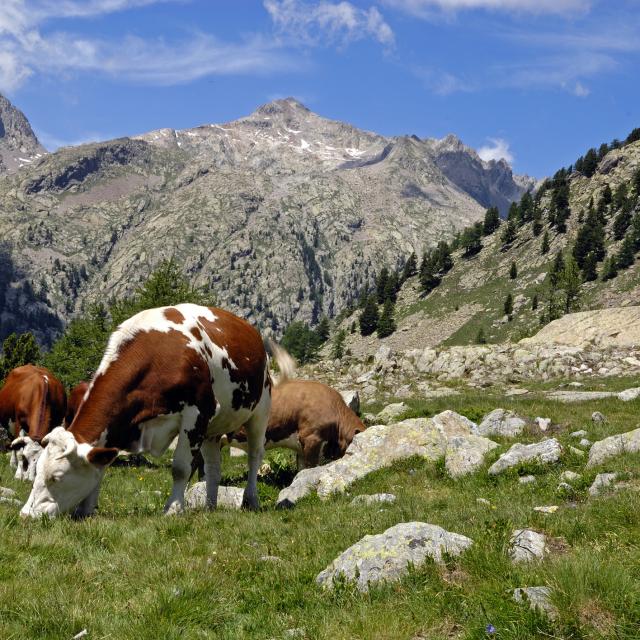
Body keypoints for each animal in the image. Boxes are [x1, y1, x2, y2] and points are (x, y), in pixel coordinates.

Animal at [21, 304, 272, 520]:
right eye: (37, 471)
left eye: (57, 477)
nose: (25, 515)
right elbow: (101, 466)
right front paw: (86, 509)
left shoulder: (197, 412)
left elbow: (180, 468)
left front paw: (173, 509)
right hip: (214, 427)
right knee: (213, 465)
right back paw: (210, 505)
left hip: (260, 410)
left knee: (254, 455)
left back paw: (251, 500)